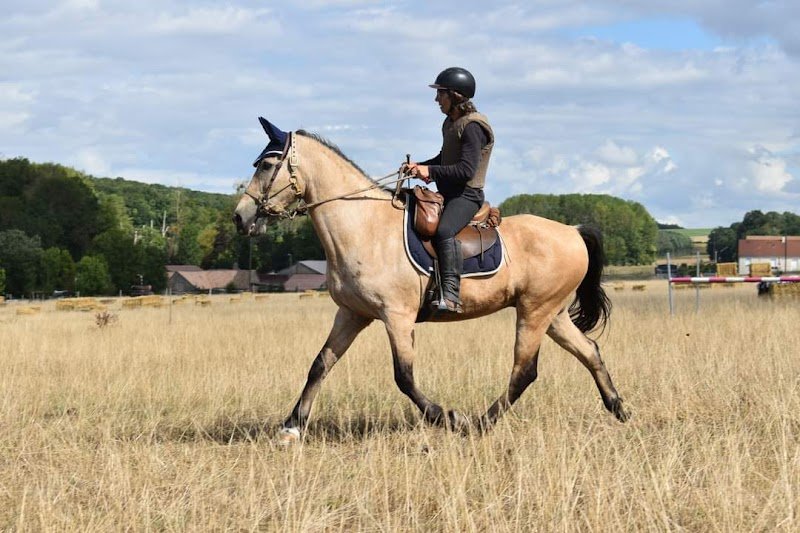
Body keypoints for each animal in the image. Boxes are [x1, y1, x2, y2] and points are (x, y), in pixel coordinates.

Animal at [233, 119, 629, 442]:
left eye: (266, 165)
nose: (240, 217)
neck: (364, 226)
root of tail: (573, 231)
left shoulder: (396, 316)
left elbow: (404, 377)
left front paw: (446, 416)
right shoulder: (352, 314)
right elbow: (320, 365)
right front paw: (291, 427)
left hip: (534, 312)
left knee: (524, 371)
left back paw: (479, 423)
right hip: (552, 314)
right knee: (588, 351)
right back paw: (618, 408)